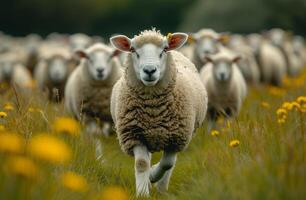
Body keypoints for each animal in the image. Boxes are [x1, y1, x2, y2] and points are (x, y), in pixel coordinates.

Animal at [110, 29, 208, 197]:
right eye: (133, 50)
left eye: (164, 50)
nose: (149, 71)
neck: (153, 111)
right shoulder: (135, 135)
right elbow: (141, 163)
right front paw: (143, 192)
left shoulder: (176, 138)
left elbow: (167, 164)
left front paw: (152, 175)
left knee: (170, 164)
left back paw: (162, 188)